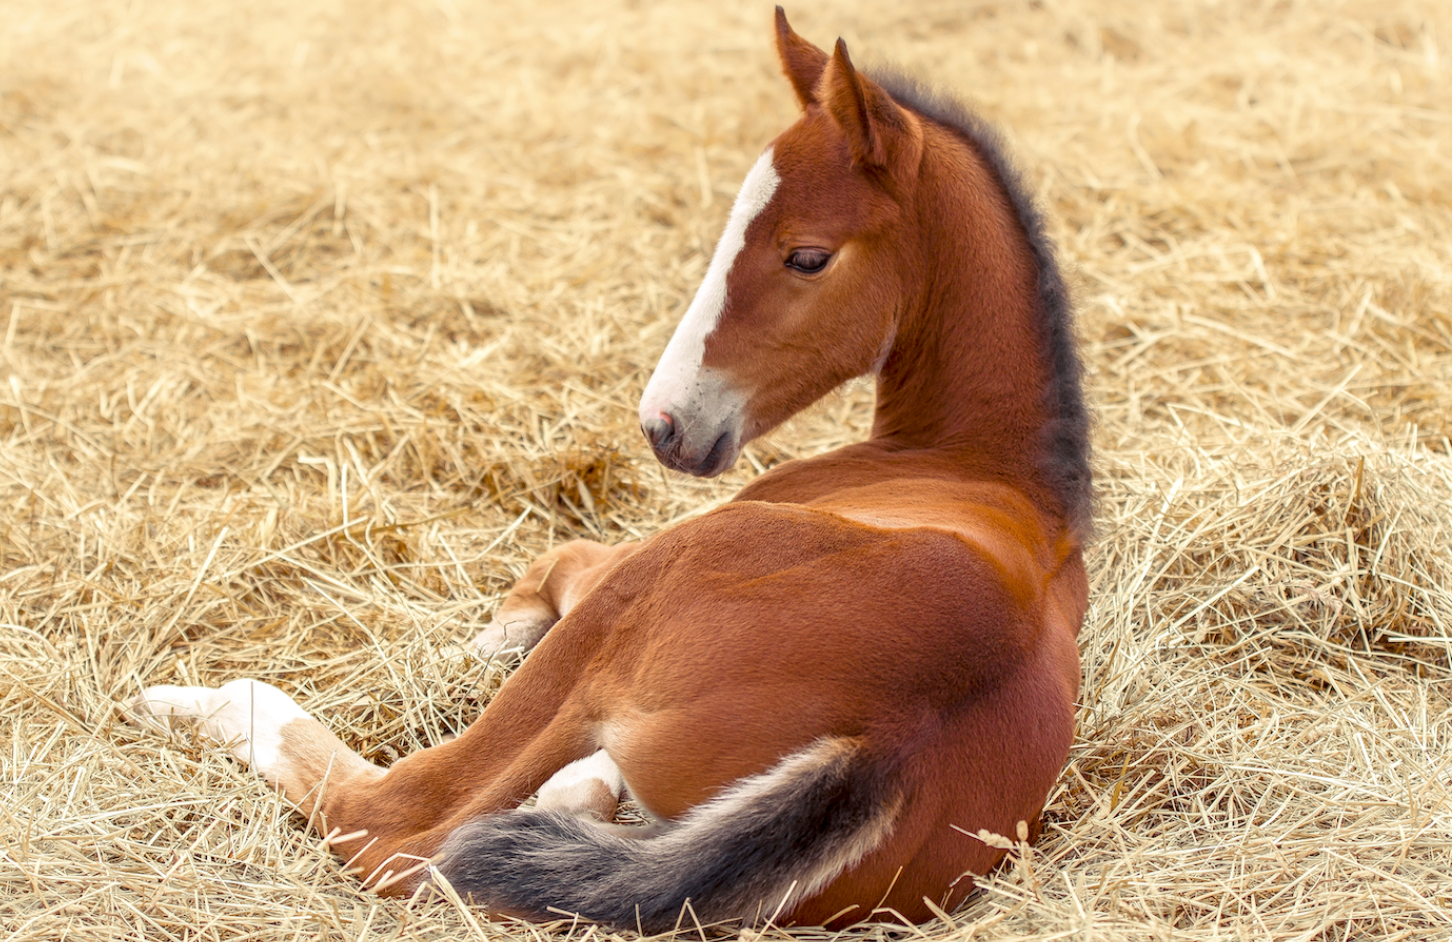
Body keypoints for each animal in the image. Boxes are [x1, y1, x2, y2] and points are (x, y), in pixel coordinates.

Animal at [129, 8, 1092, 930]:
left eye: (807, 255)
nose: (665, 426)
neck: (974, 463)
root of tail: (888, 740)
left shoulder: (616, 567)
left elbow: (550, 566)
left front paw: (470, 646)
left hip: (642, 597)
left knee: (395, 824)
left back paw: (192, 702)